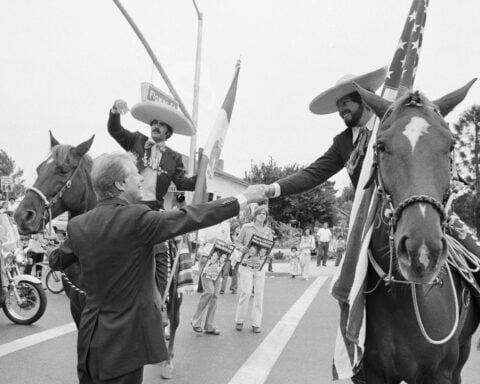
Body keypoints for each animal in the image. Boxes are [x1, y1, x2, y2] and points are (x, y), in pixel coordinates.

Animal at [14, 132, 182, 378]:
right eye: (38, 169)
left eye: (63, 169)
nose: (22, 216)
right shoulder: (78, 309)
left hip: (176, 289)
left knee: (175, 319)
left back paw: (169, 361)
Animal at [348, 79, 480, 382]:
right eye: (381, 146)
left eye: (450, 145)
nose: (422, 252)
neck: (403, 297)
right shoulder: (373, 373)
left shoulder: (440, 373)